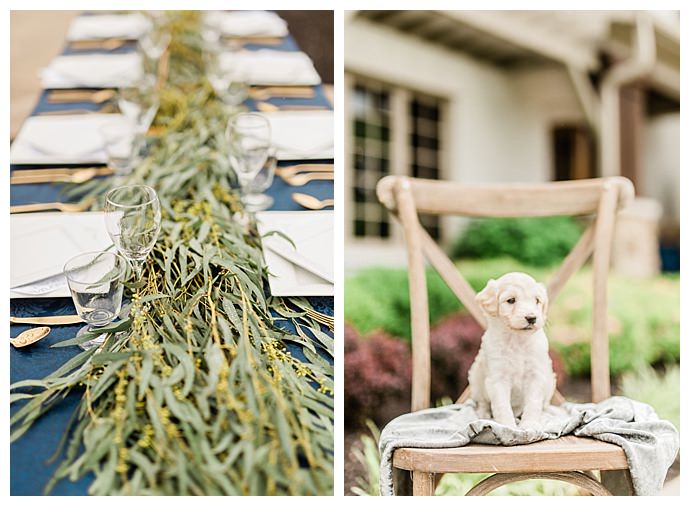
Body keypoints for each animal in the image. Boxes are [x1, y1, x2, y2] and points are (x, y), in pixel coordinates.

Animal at [464, 270, 556, 428]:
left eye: (537, 300)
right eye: (511, 300)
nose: (532, 318)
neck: (517, 339)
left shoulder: (536, 375)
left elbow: (533, 403)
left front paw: (530, 425)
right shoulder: (498, 378)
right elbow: (502, 406)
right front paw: (507, 427)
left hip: (550, 381)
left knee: (544, 403)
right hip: (475, 380)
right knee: (483, 401)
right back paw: (483, 413)